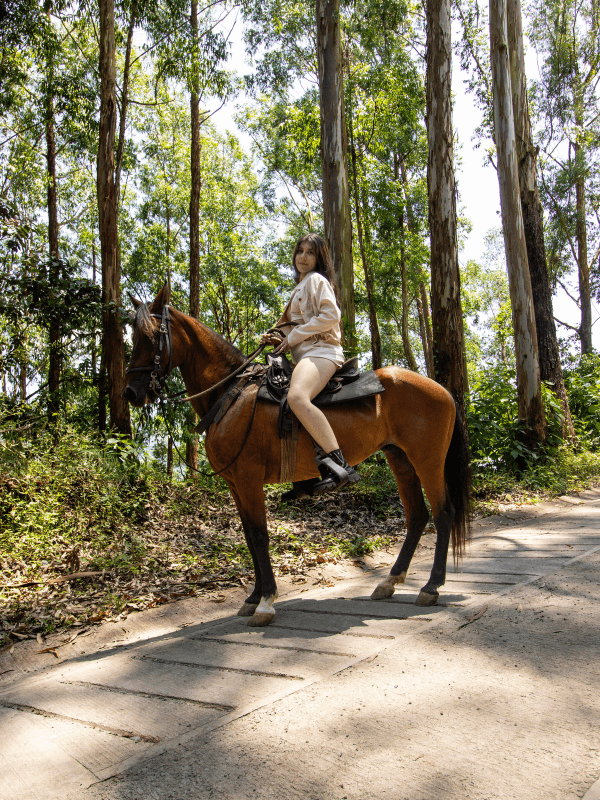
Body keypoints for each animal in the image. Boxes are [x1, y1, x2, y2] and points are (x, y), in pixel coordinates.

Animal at [124, 284, 472, 627]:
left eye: (151, 337)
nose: (130, 392)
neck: (230, 394)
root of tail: (440, 389)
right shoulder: (236, 484)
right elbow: (249, 537)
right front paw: (253, 597)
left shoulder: (249, 479)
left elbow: (260, 536)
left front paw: (265, 601)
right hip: (400, 459)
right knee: (417, 516)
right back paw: (390, 581)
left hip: (428, 460)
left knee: (443, 513)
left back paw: (430, 587)